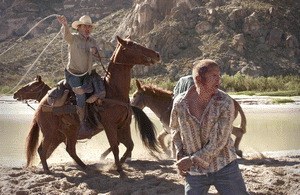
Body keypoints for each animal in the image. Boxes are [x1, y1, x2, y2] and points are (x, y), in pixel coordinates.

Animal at [14, 36, 159, 175]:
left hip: (68, 132)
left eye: (30, 86)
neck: (113, 92)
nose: (156, 54)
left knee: (68, 149)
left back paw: (84, 167)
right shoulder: (110, 125)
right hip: (51, 133)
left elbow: (129, 145)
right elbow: (116, 147)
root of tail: (40, 108)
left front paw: (115, 166)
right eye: (133, 46)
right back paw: (48, 170)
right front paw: (118, 169)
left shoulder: (123, 125)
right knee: (43, 150)